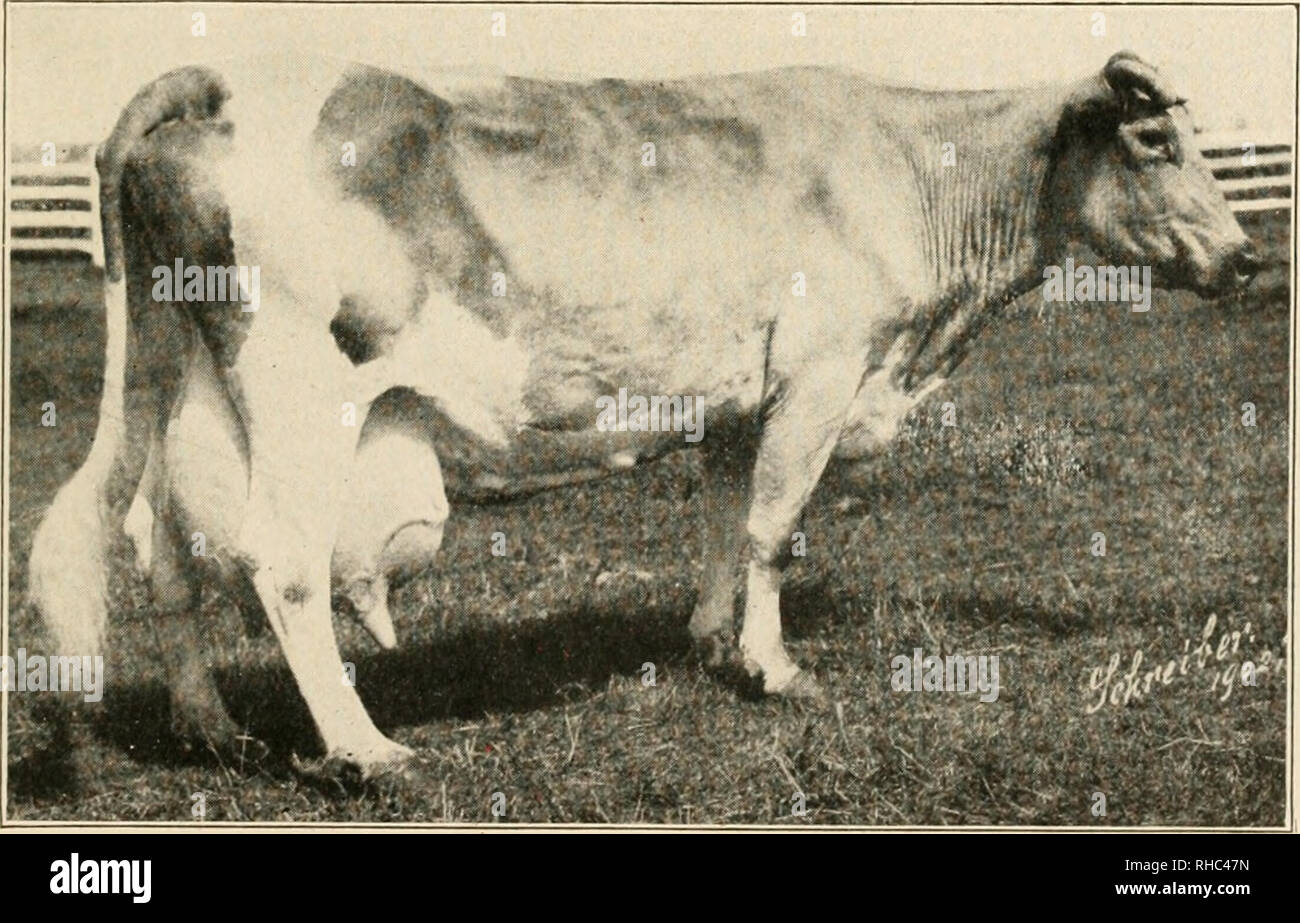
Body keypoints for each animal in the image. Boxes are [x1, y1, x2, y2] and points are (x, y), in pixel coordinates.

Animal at [22, 52, 1258, 780]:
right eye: (1154, 141)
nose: (1246, 256)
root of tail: (227, 81)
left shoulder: (740, 396)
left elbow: (721, 521)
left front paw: (713, 641)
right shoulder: (822, 371)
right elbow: (773, 529)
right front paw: (775, 669)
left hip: (177, 379)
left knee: (160, 545)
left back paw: (210, 725)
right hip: (297, 396)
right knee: (276, 562)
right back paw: (365, 747)